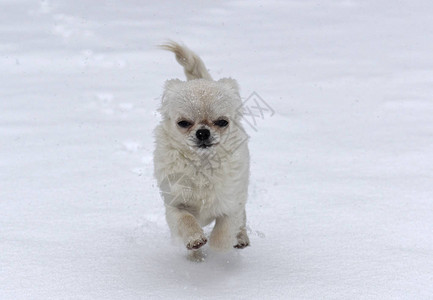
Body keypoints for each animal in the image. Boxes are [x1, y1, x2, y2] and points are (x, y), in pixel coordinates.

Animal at [154, 41, 250, 254]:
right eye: (183, 123)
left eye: (222, 122)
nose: (203, 132)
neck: (202, 164)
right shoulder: (175, 203)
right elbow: (185, 220)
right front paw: (195, 240)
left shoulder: (231, 202)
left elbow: (225, 228)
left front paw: (219, 247)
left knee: (242, 217)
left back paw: (241, 237)